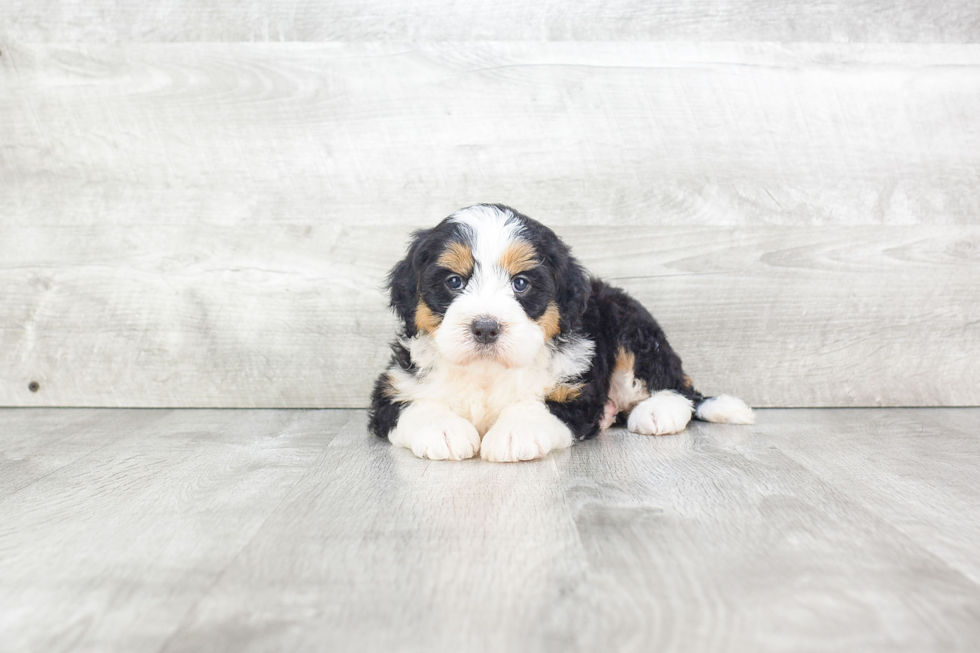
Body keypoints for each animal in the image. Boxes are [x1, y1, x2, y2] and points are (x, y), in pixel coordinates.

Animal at [372, 201, 756, 460]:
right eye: (454, 281)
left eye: (521, 283)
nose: (485, 328)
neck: (487, 372)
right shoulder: (393, 386)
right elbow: (412, 404)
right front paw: (443, 429)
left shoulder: (575, 392)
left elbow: (541, 405)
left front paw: (516, 432)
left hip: (629, 324)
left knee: (675, 383)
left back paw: (659, 411)